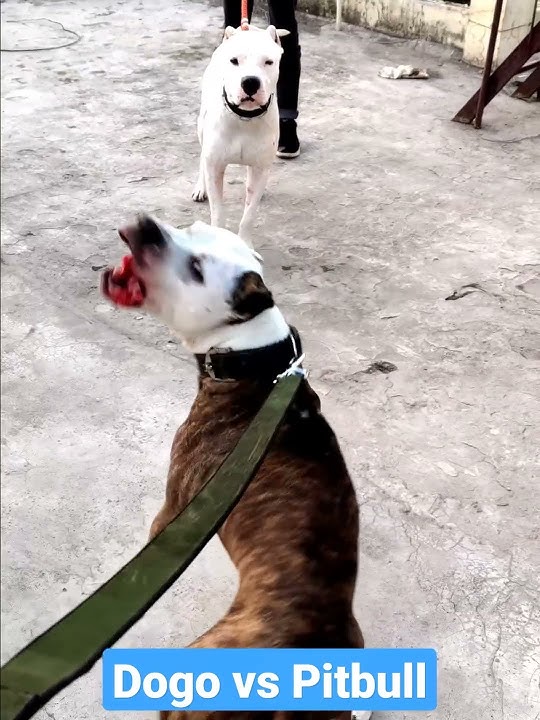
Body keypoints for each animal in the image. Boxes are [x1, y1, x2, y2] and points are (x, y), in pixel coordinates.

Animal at [192, 24, 288, 248]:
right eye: (234, 60)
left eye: (268, 62)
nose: (250, 82)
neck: (244, 117)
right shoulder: (215, 166)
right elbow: (218, 212)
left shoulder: (260, 168)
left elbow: (249, 215)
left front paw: (245, 243)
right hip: (201, 127)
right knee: (201, 158)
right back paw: (201, 187)